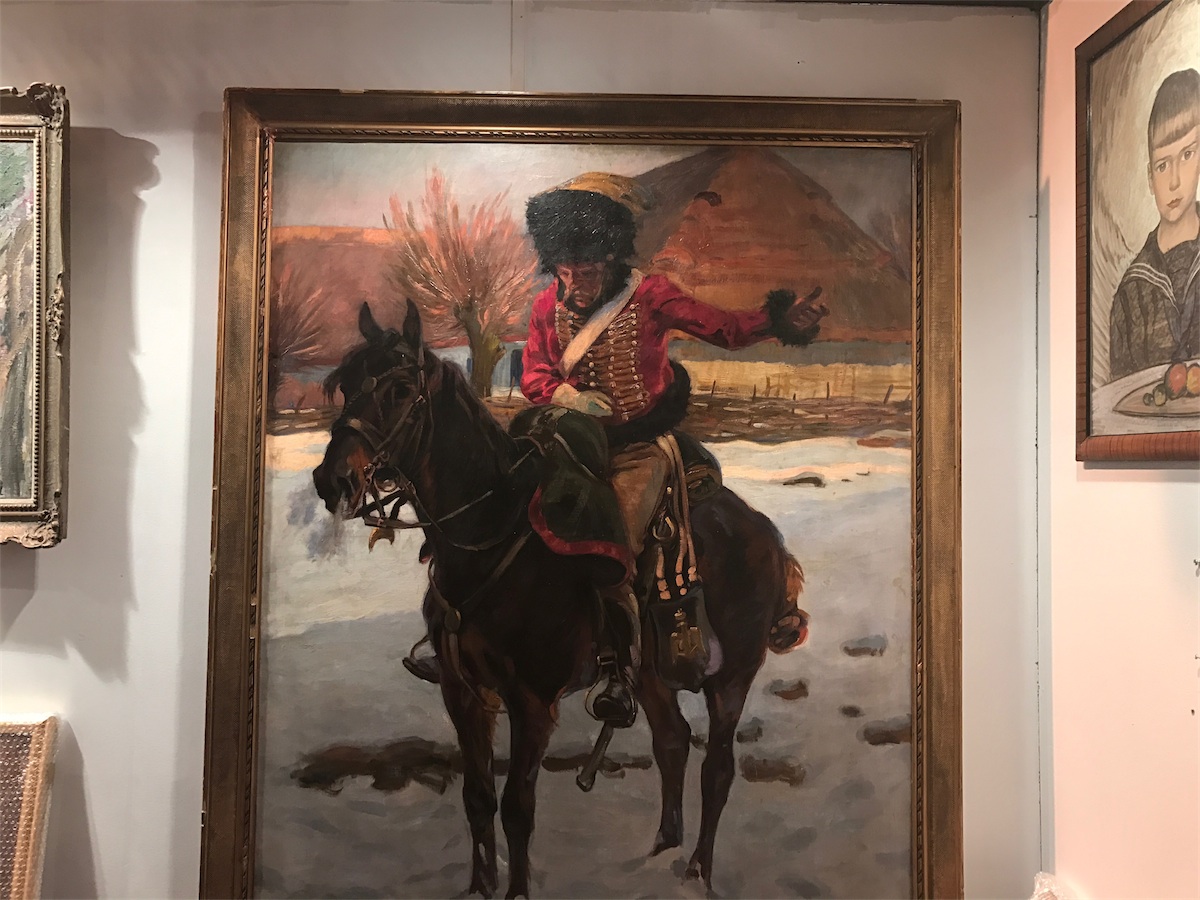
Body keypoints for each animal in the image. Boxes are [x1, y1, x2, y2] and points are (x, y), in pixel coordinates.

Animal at [313, 301, 808, 899]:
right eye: (344, 384)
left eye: (402, 388)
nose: (332, 480)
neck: (491, 535)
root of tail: (765, 533)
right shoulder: (463, 694)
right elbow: (477, 799)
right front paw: (479, 886)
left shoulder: (532, 703)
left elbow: (517, 808)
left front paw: (516, 890)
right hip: (649, 675)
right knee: (672, 742)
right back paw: (659, 852)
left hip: (731, 677)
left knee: (717, 768)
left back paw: (696, 870)